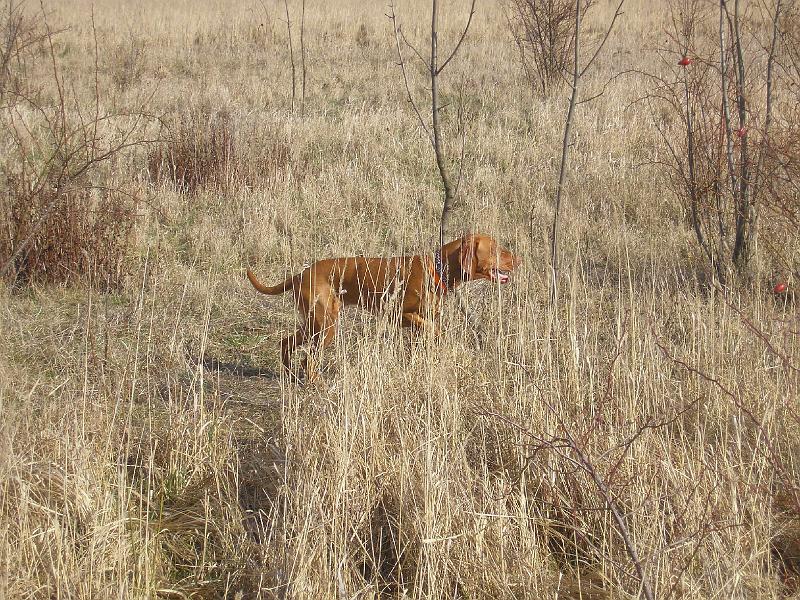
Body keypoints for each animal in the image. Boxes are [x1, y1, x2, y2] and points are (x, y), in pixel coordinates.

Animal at [247, 233, 520, 378]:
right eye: (496, 250)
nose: (519, 259)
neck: (436, 269)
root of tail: (300, 274)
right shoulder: (399, 315)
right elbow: (434, 330)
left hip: (315, 324)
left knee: (286, 343)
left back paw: (289, 374)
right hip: (325, 326)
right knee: (308, 360)